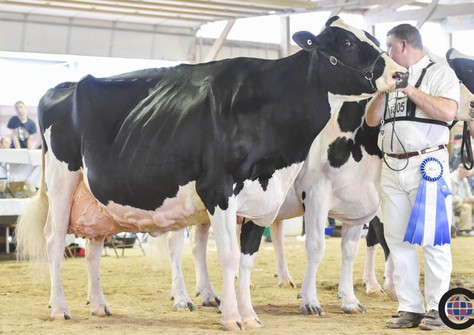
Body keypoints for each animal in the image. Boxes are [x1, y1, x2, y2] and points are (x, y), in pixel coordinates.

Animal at [14, 17, 408, 332]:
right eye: (347, 43)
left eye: (375, 40)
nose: (400, 73)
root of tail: (63, 85)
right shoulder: (220, 189)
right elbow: (232, 256)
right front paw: (234, 317)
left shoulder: (261, 199)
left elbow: (248, 260)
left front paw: (249, 315)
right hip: (62, 181)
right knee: (55, 241)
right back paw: (61, 308)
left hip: (96, 197)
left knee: (94, 247)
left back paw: (99, 305)